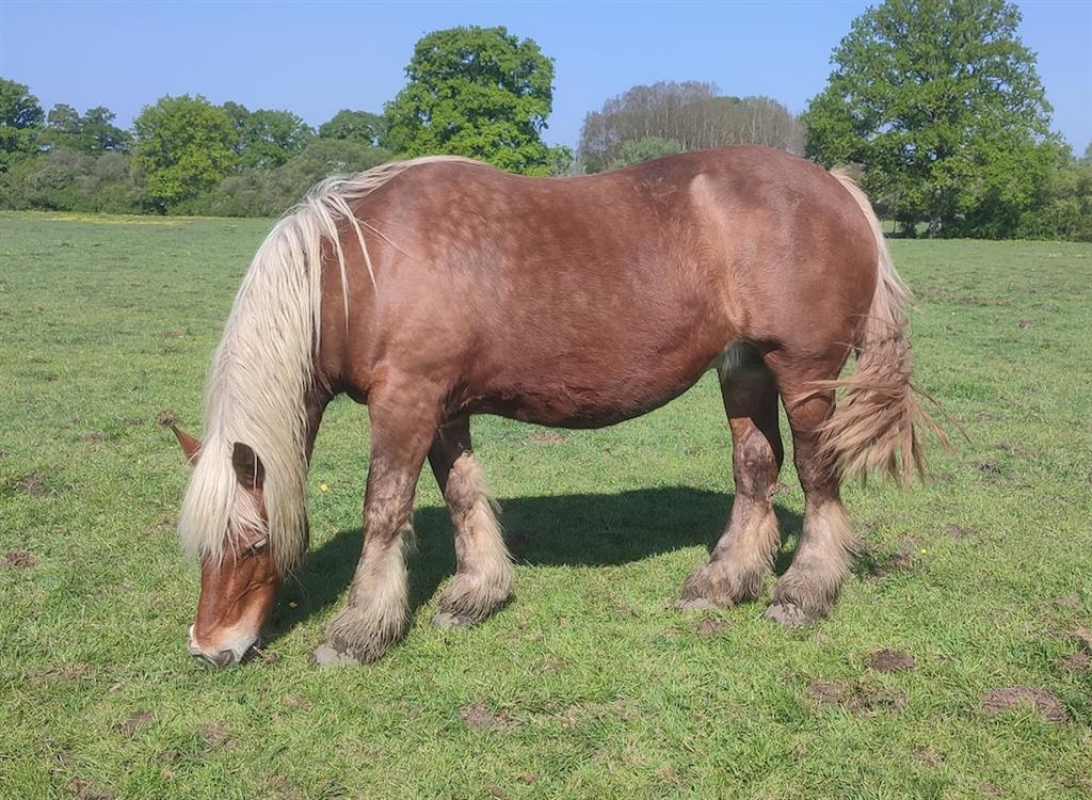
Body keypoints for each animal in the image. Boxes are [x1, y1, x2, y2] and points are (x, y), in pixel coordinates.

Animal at [169, 145, 940, 667]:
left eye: (252, 543)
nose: (210, 648)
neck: (364, 269)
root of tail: (833, 184)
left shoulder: (406, 401)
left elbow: (383, 509)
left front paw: (359, 631)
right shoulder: (443, 407)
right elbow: (462, 494)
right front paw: (474, 595)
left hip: (805, 373)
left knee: (816, 475)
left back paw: (803, 594)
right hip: (744, 367)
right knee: (756, 466)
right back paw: (723, 583)